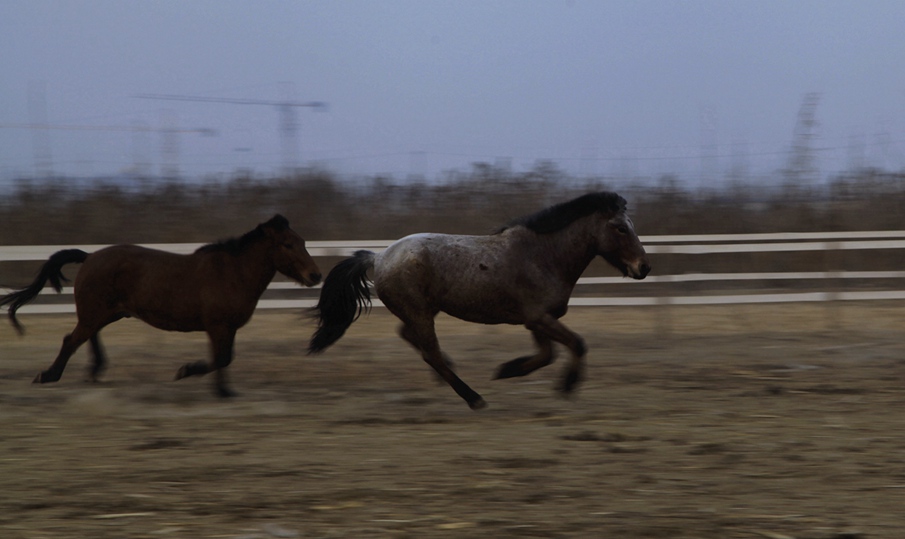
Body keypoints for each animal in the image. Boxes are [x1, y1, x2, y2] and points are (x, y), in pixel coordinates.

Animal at [1, 214, 322, 398]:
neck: (233, 272)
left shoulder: (226, 328)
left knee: (87, 336)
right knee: (71, 339)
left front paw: (224, 390)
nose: (315, 276)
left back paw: (95, 371)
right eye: (288, 245)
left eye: (303, 241)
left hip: (108, 313)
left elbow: (224, 358)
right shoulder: (217, 326)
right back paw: (48, 376)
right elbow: (220, 358)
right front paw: (187, 372)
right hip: (97, 312)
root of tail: (89, 257)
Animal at [308, 192, 650, 410]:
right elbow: (577, 344)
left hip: (423, 311)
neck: (543, 255)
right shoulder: (538, 318)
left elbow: (546, 355)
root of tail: (378, 257)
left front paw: (507, 369)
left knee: (409, 337)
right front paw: (567, 385)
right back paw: (473, 398)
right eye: (620, 228)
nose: (644, 267)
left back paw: (453, 372)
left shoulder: (537, 321)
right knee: (429, 353)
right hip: (420, 313)